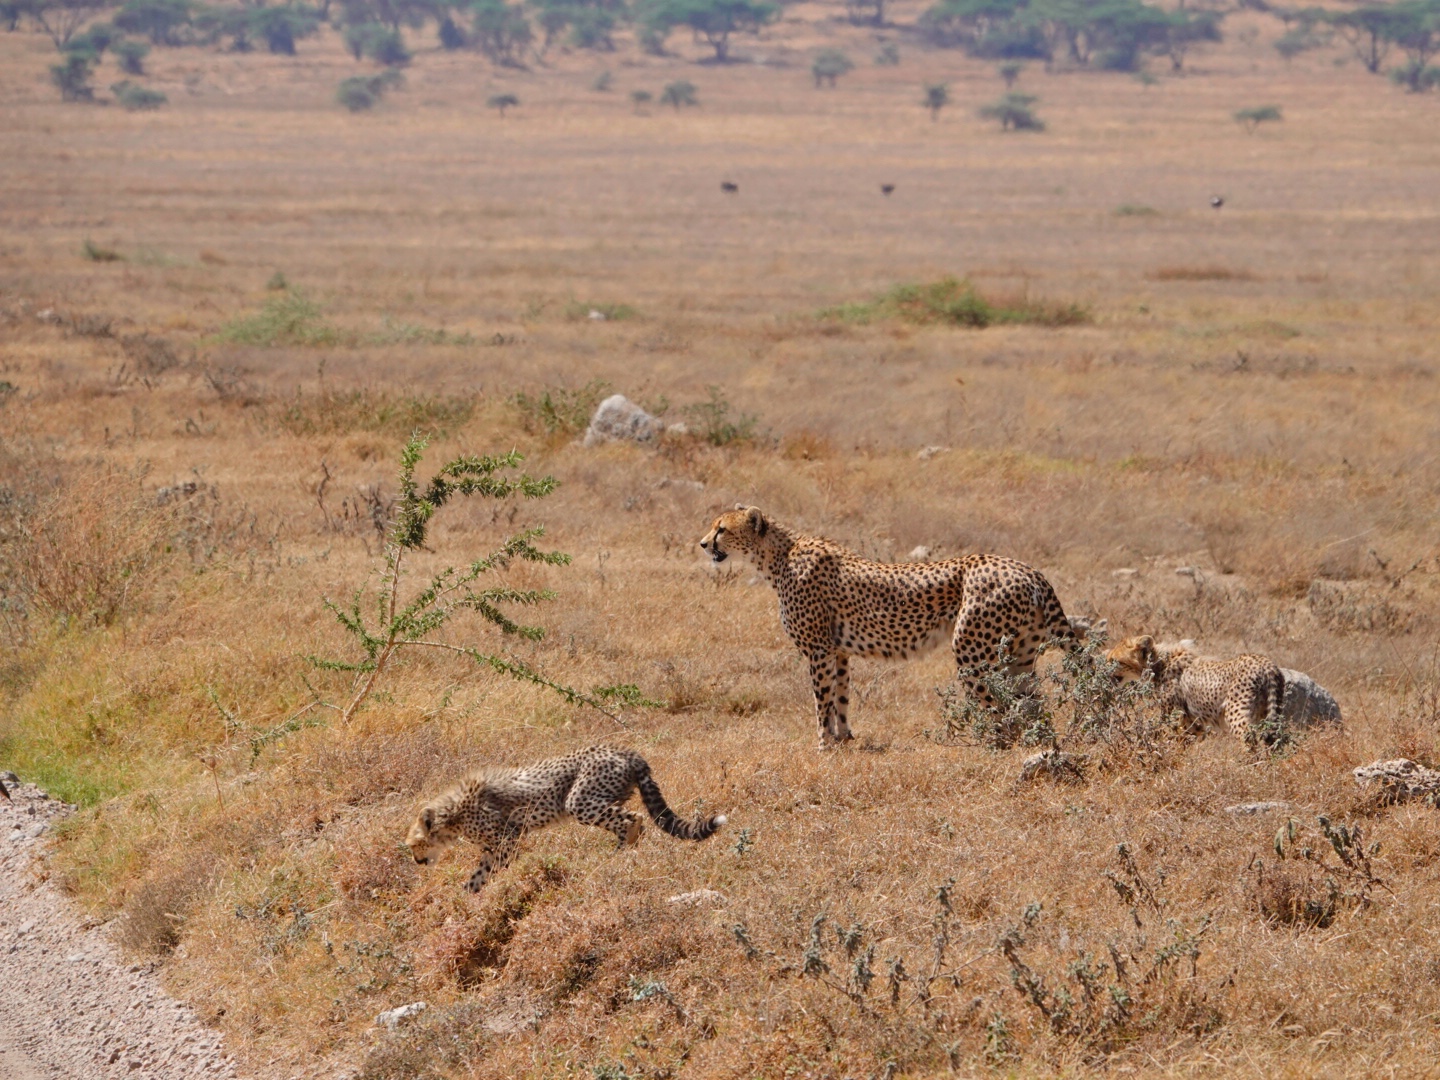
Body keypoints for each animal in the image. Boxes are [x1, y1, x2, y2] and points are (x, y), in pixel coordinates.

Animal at [406, 743, 725, 898]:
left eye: (413, 846)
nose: (417, 861)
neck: (453, 814)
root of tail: (627, 752)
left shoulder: (509, 837)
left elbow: (494, 867)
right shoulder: (495, 844)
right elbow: (480, 872)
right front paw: (465, 896)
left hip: (578, 802)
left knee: (633, 819)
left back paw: (615, 858)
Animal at [702, 506, 1077, 743]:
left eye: (722, 528)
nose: (703, 544)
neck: (778, 557)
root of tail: (1029, 569)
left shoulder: (819, 650)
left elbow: (821, 701)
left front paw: (822, 746)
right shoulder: (838, 652)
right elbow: (840, 698)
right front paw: (844, 740)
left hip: (973, 652)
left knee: (1000, 708)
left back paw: (995, 748)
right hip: (1020, 657)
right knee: (1032, 706)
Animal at [1105, 639, 1290, 748]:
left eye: (1115, 661)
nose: (1103, 670)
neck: (1158, 664)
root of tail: (1266, 663)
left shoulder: (1179, 720)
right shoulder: (1194, 723)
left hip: (1236, 712)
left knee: (1251, 738)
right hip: (1266, 713)